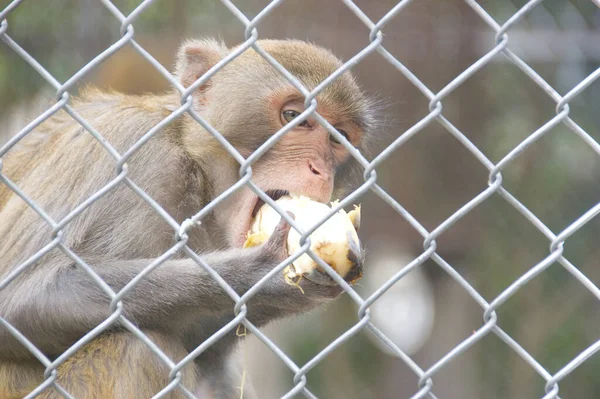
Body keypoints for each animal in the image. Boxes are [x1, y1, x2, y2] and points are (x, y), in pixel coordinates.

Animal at [0, 38, 376, 399]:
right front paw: (258, 275)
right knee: (137, 351)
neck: (198, 178)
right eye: (293, 115)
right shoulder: (131, 154)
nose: (320, 170)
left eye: (338, 137)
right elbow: (18, 298)